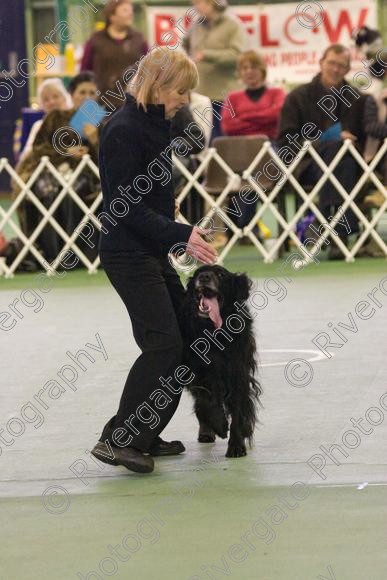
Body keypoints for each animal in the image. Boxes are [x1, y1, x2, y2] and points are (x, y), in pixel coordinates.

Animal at [183, 264, 262, 458]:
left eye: (220, 274)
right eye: (197, 273)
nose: (204, 277)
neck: (214, 331)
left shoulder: (238, 372)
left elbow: (239, 408)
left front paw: (236, 445)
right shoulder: (198, 370)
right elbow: (206, 400)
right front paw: (219, 424)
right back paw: (207, 431)